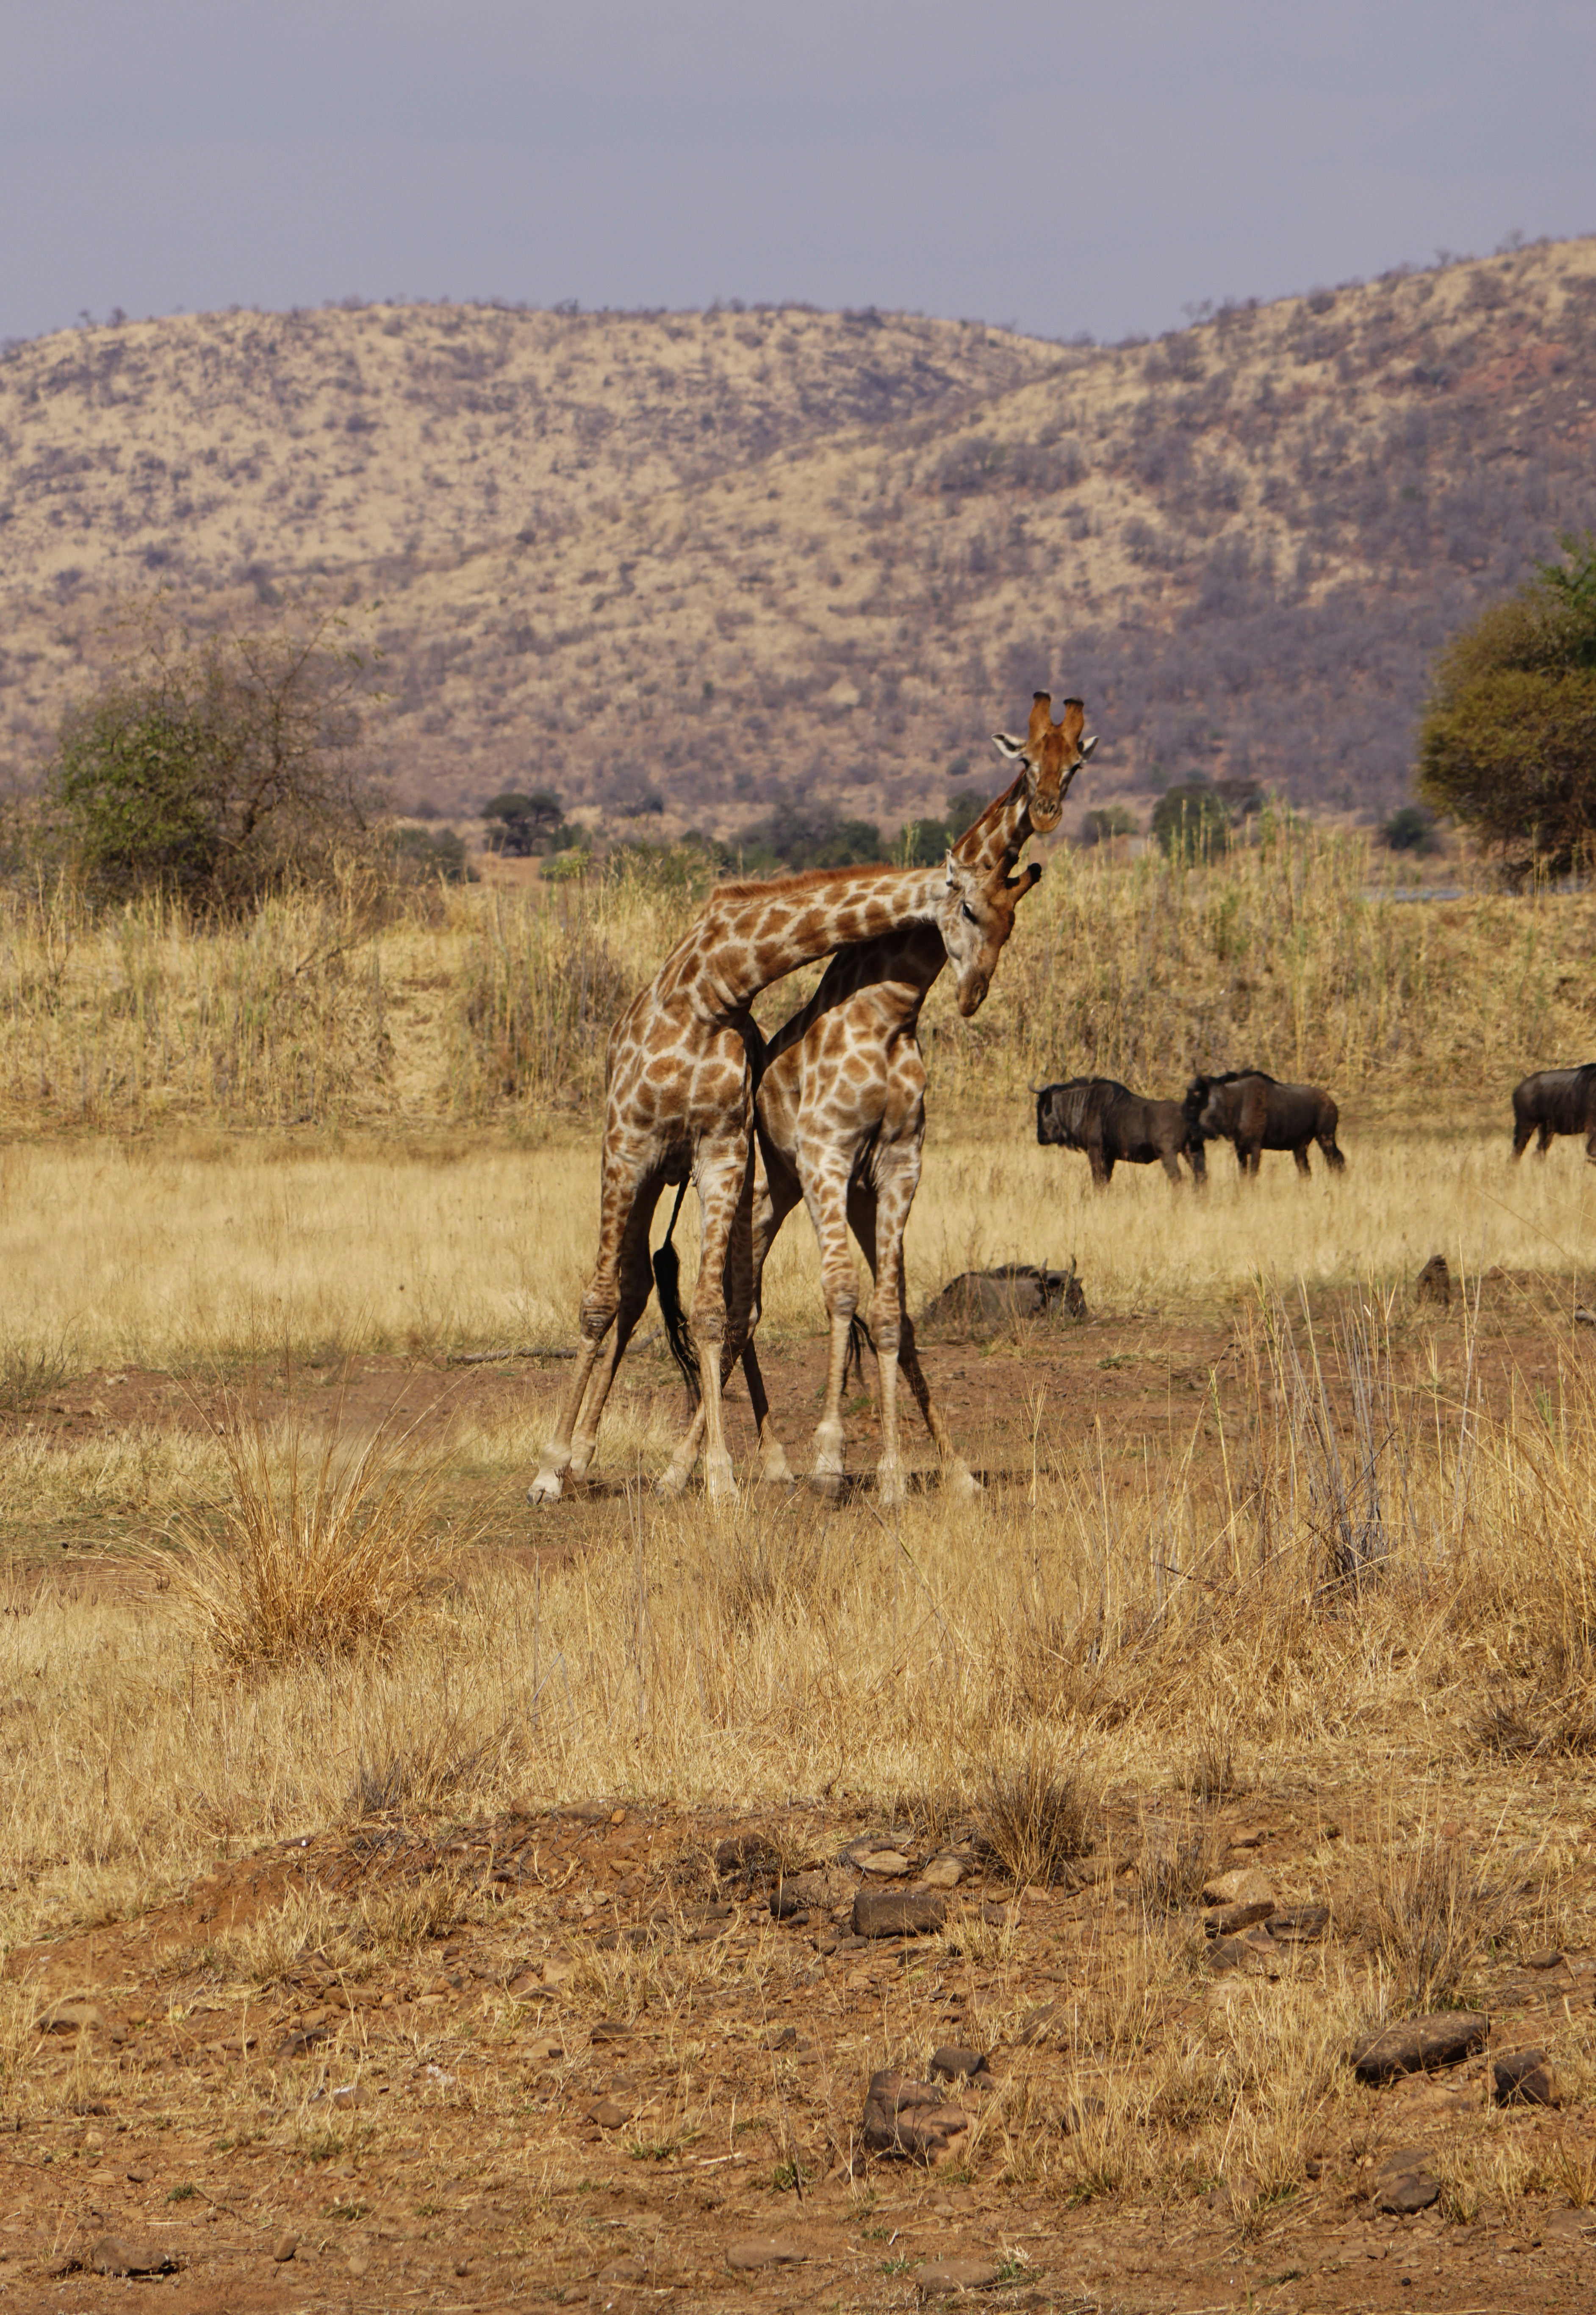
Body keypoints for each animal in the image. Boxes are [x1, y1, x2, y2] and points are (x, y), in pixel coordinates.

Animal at [526, 850, 1024, 1507]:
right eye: (968, 907)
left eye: (1010, 923)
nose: (974, 993)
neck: (710, 989)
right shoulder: (627, 1145)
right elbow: (597, 1302)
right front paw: (547, 1469)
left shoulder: (723, 1150)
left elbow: (710, 1311)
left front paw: (719, 1477)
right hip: (649, 1173)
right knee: (630, 1288)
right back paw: (578, 1458)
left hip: (728, 1182)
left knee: (725, 1300)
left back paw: (755, 1460)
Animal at [660, 694, 1096, 1504]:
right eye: (1026, 757)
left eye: (1077, 762)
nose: (1049, 809)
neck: (892, 1009)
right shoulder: (827, 1154)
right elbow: (838, 1295)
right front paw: (830, 1458)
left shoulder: (897, 1162)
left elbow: (892, 1313)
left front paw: (913, 1472)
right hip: (768, 1188)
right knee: (740, 1306)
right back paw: (695, 1469)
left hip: (847, 1196)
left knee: (789, 1309)